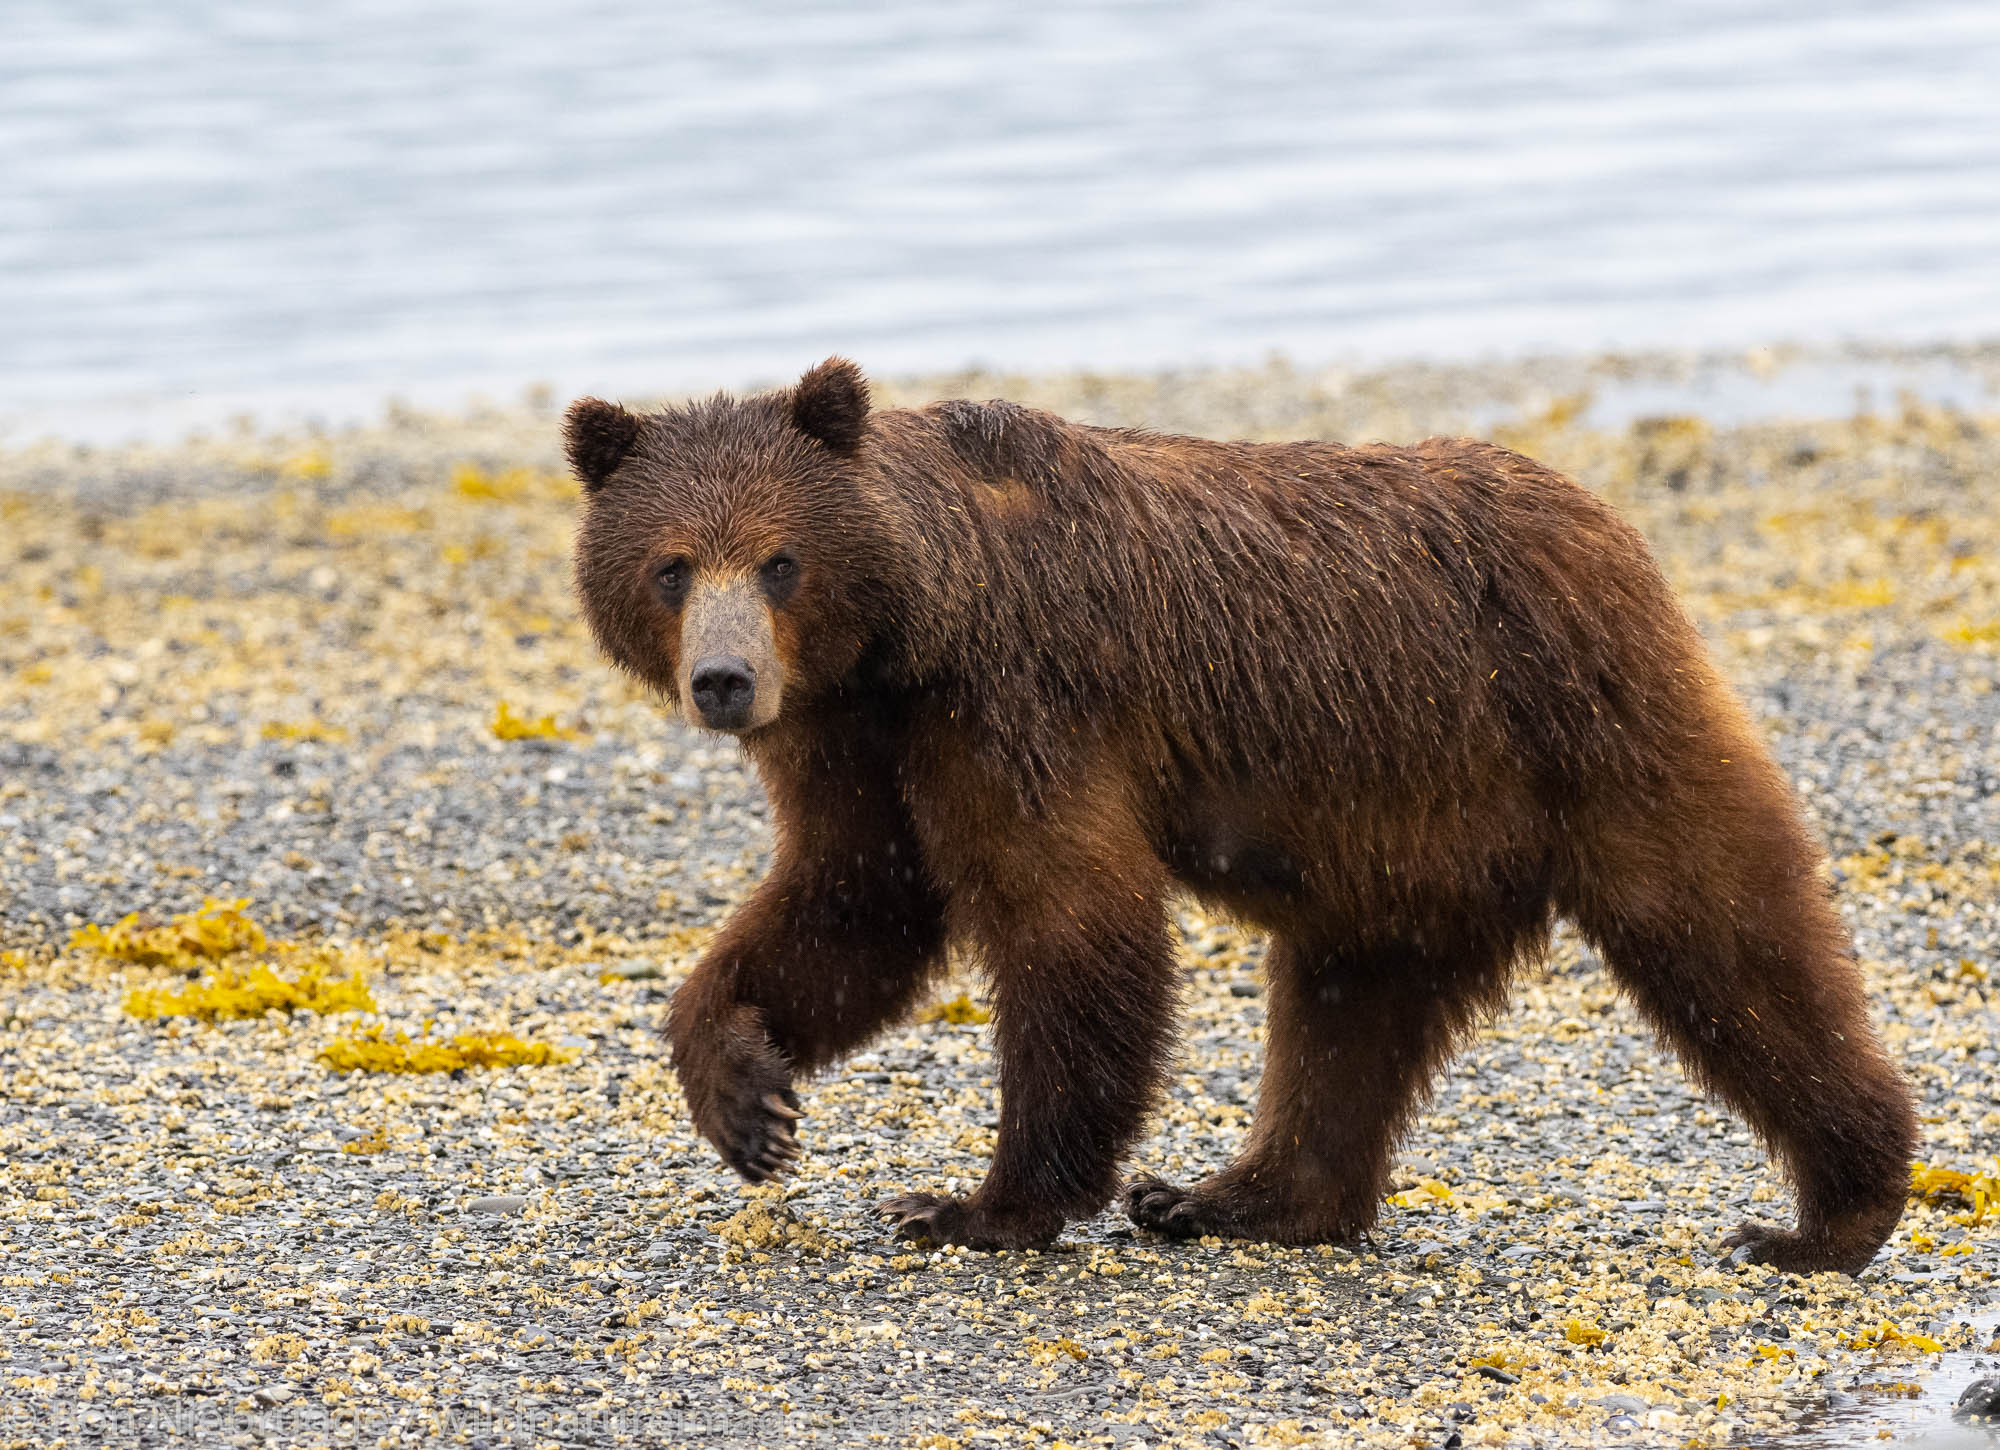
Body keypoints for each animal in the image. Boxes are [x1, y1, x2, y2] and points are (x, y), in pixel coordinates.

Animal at [572, 356, 1912, 1272]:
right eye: (671, 565)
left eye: (777, 558)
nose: (724, 680)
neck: (908, 633)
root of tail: (1603, 521)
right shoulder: (854, 740)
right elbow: (854, 901)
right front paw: (747, 1095)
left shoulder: (1016, 698)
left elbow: (1067, 920)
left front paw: (973, 1204)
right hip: (1407, 836)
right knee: (1345, 1008)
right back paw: (1235, 1196)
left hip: (1579, 720)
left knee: (1726, 932)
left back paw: (1828, 1210)